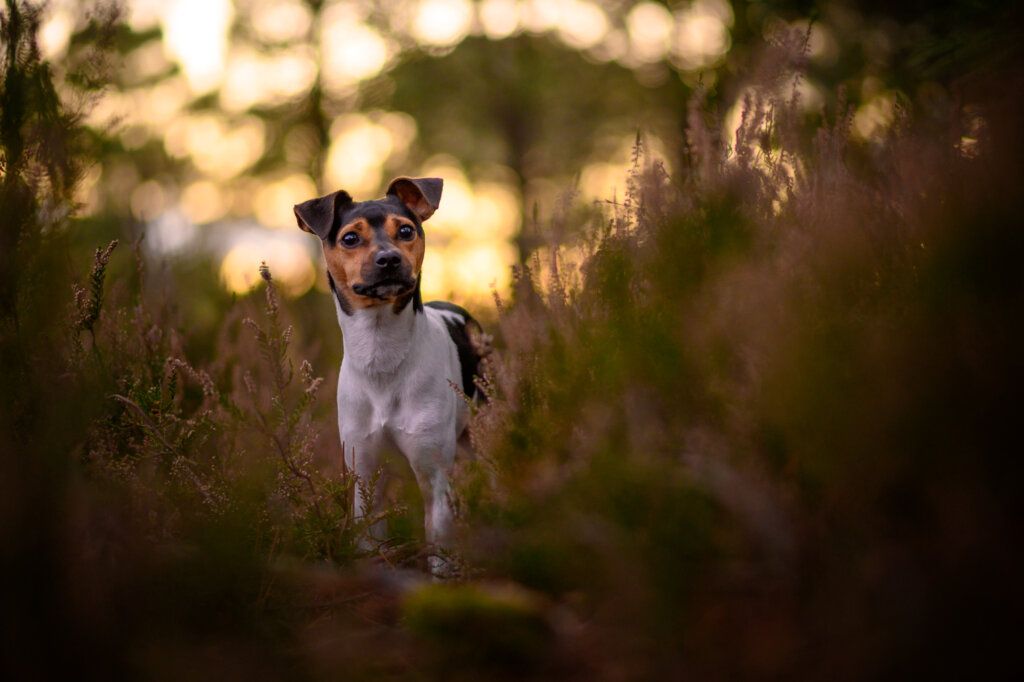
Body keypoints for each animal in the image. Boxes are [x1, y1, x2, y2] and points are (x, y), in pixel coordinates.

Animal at [294, 176, 485, 573]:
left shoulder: (434, 476)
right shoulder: (364, 474)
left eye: (406, 230)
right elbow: (369, 542)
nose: (389, 259)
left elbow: (440, 551)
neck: (381, 354)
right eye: (350, 238)